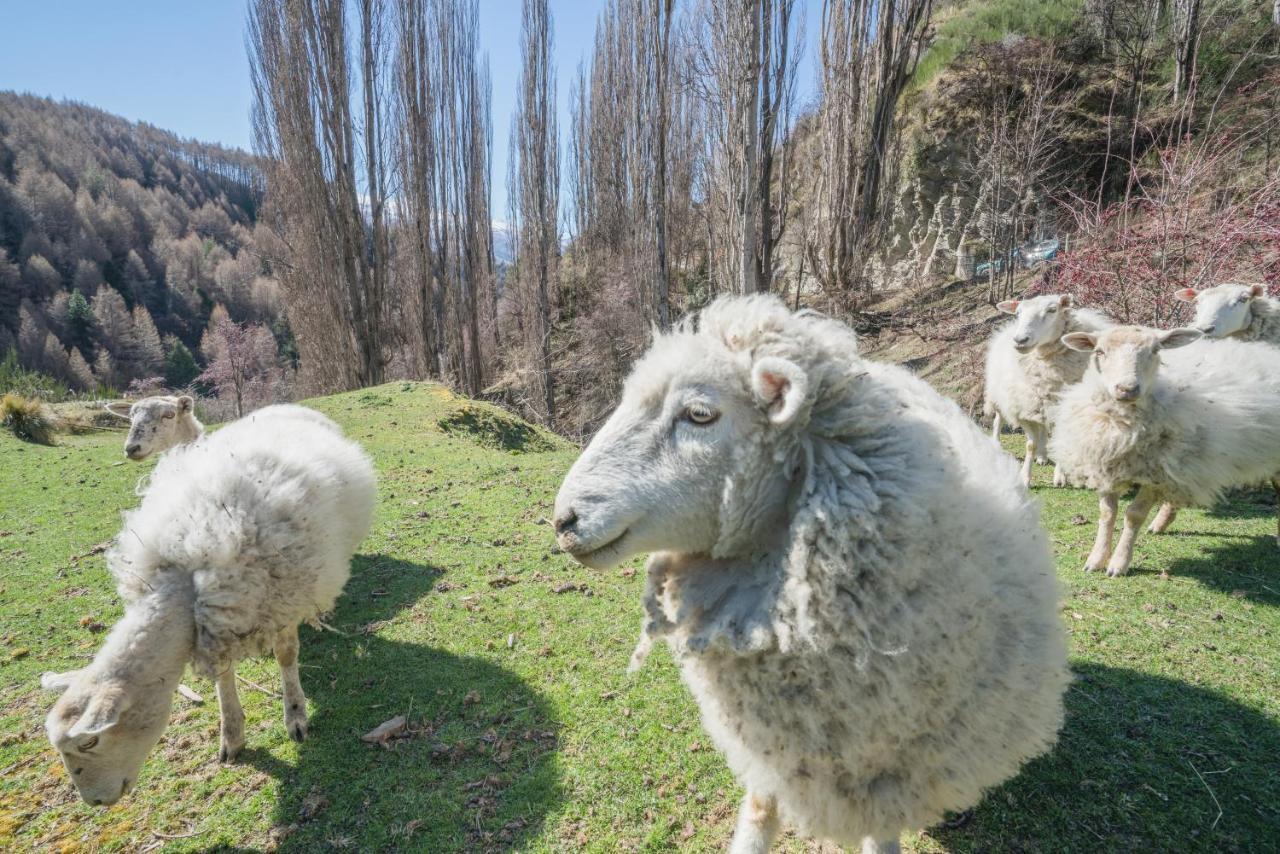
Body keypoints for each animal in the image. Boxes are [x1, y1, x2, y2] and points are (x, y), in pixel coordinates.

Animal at [40, 409, 376, 804]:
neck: (186, 586)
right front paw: (232, 735)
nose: (94, 801)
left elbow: (286, 656)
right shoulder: (216, 627)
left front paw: (295, 714)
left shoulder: (281, 598)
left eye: (89, 742)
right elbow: (223, 675)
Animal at [977, 291, 1111, 483]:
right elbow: (1030, 445)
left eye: (1052, 310)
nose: (1020, 340)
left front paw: (1060, 477)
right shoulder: (1024, 409)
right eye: (1018, 313)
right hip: (1002, 394)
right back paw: (998, 444)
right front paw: (1025, 477)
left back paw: (1042, 456)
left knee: (1043, 429)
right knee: (998, 419)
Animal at [1049, 323, 1280, 578]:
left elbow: (1134, 515)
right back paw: (1160, 523)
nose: (1127, 389)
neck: (1124, 425)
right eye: (1099, 351)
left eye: (1155, 350)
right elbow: (1107, 513)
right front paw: (1096, 559)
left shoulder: (1156, 474)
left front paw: (1119, 563)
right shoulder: (1106, 466)